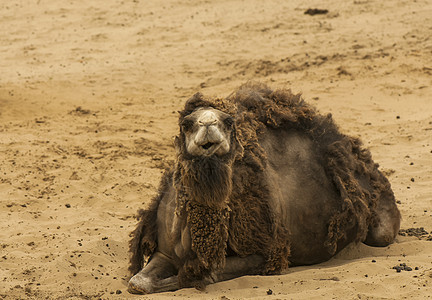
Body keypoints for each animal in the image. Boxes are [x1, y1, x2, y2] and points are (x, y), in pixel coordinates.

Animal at [126, 82, 400, 292]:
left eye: (228, 122)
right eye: (186, 123)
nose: (208, 125)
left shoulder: (263, 252)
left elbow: (205, 275)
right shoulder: (165, 251)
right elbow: (138, 282)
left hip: (381, 220)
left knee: (383, 234)